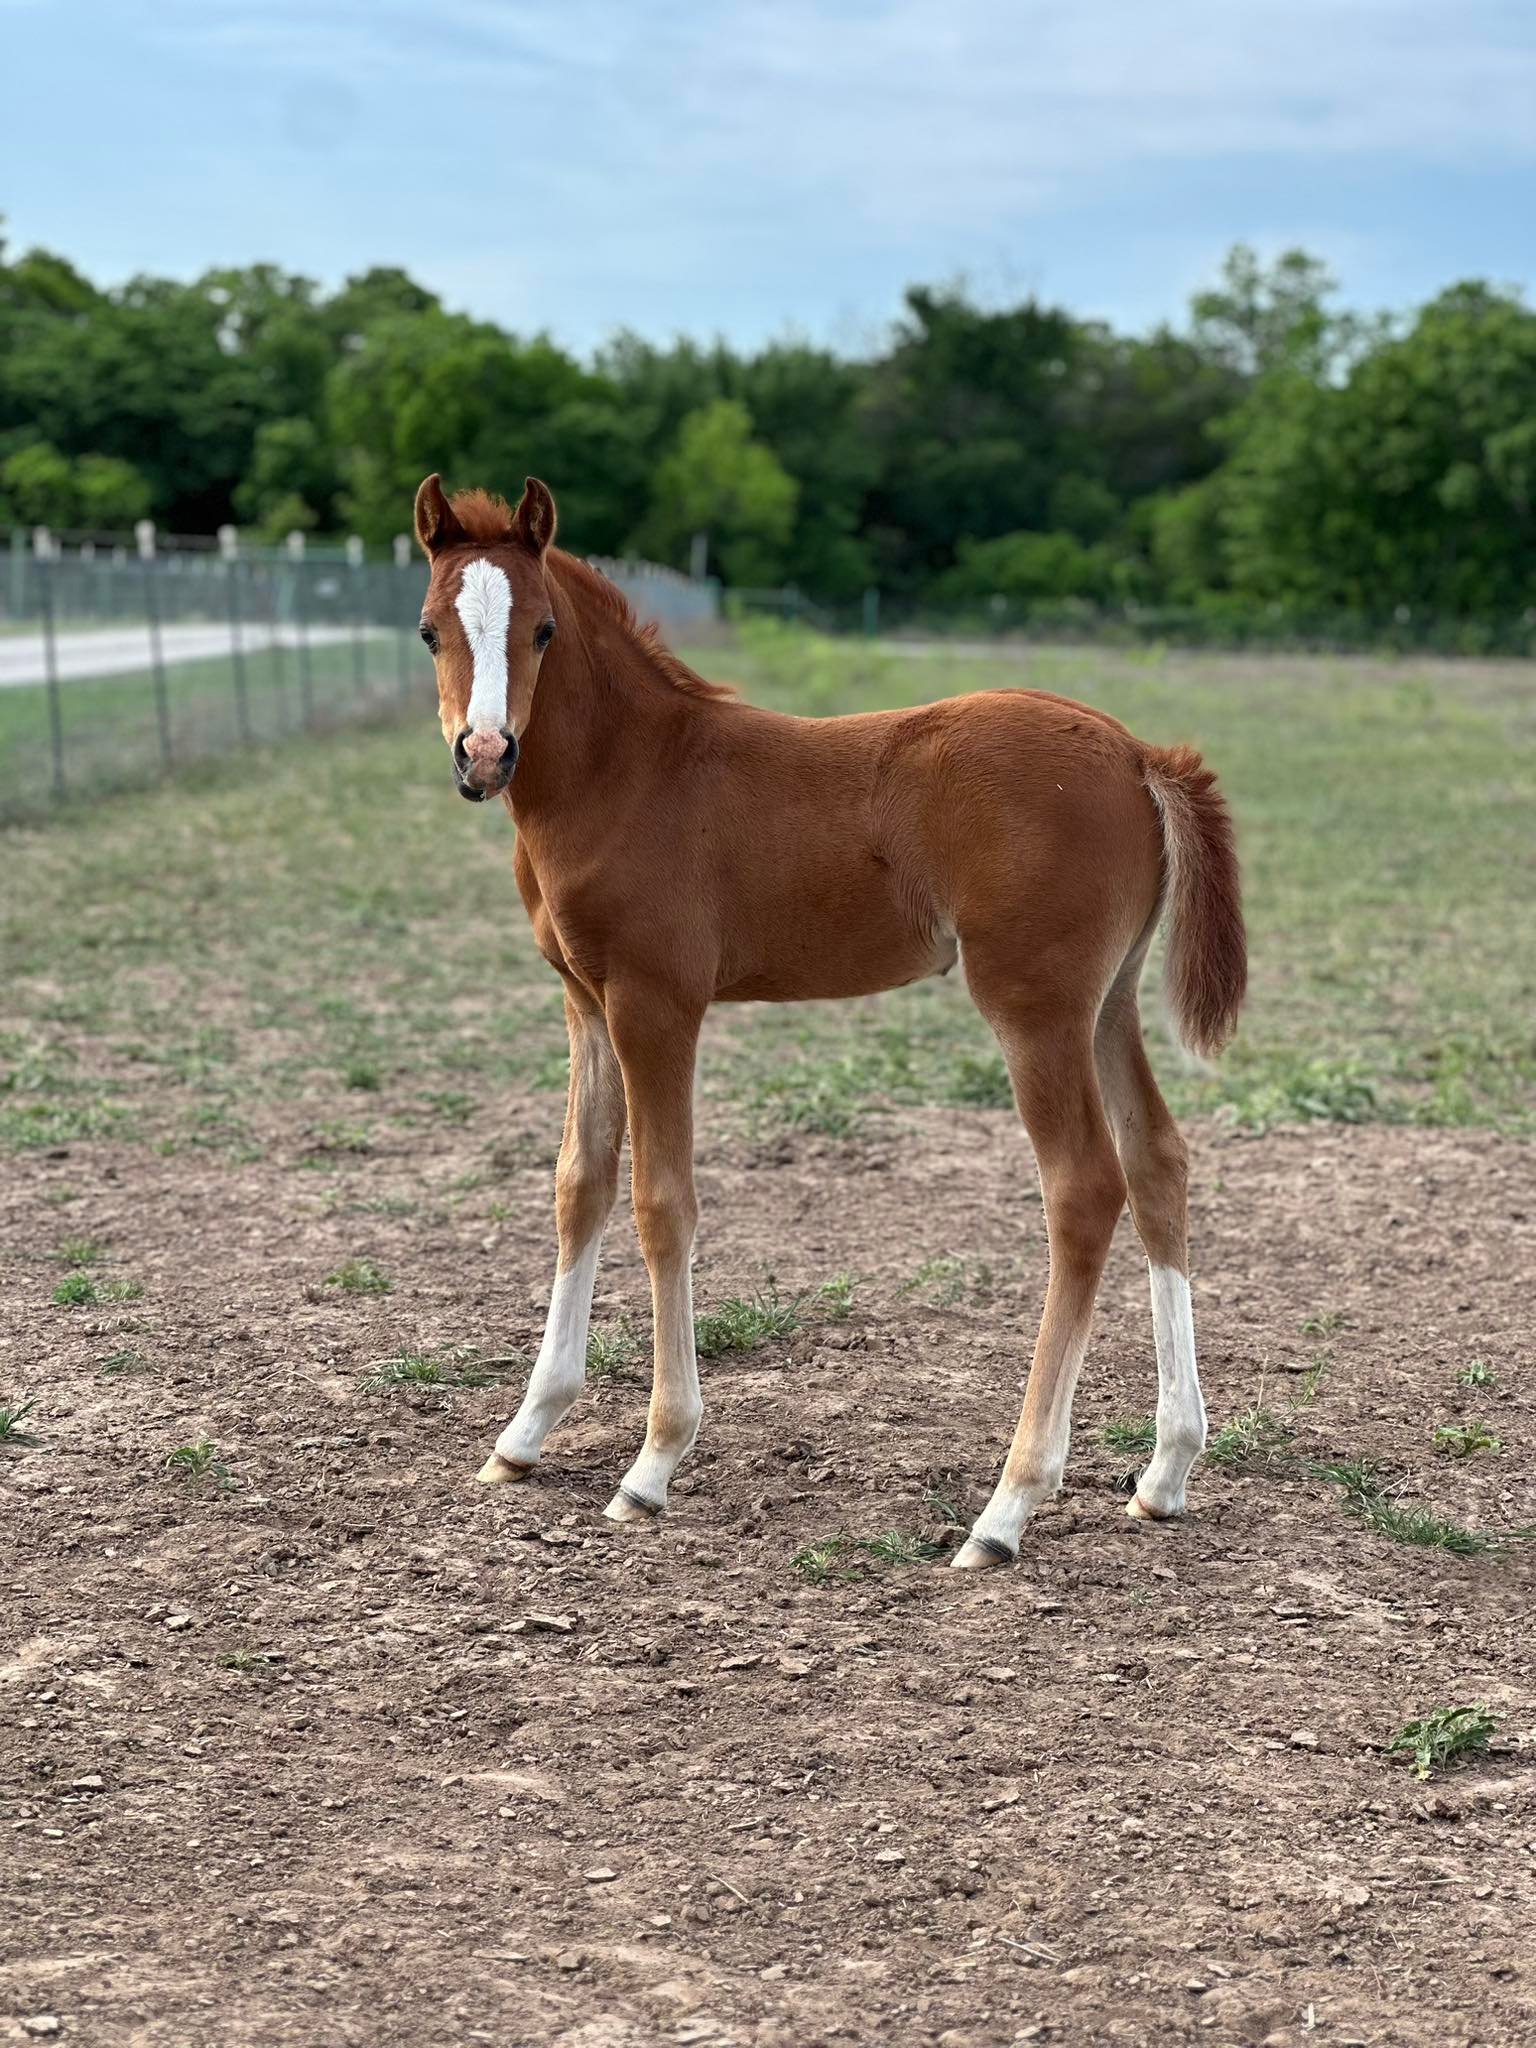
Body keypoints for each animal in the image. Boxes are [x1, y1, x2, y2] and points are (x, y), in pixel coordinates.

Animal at [412, 472, 1246, 1568]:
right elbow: (578, 1184)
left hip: (1035, 1004)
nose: (484, 754)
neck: (630, 775)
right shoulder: (583, 1002)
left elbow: (660, 1202)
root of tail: (1137, 751)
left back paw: (1007, 1509)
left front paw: (653, 1462)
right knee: (1158, 1163)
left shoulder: (655, 1002)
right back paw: (1166, 1471)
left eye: (543, 628)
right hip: (1108, 1001)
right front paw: (523, 1434)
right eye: (430, 629)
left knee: (1083, 1188)